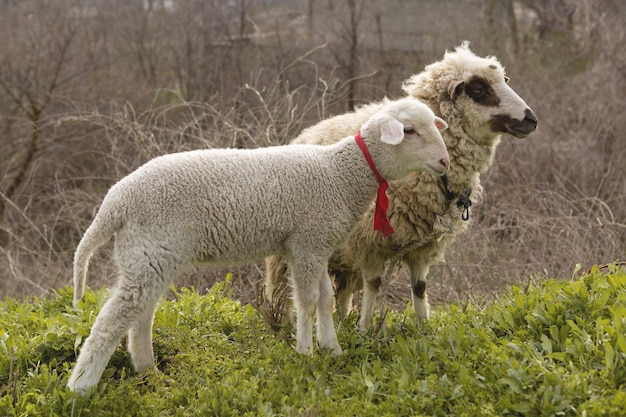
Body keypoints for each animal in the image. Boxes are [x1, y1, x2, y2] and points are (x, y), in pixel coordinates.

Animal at [68, 97, 448, 394]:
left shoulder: (315, 246)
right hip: (148, 252)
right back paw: (80, 388)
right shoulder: (308, 241)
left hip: (149, 255)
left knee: (140, 314)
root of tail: (116, 199)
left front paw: (332, 348)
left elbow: (324, 299)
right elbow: (307, 301)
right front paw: (305, 352)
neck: (341, 174)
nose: (445, 162)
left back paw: (149, 371)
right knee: (110, 321)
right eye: (409, 130)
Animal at [264, 41, 536, 328]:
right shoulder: (369, 241)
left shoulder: (423, 247)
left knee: (344, 290)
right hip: (286, 254)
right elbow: (374, 283)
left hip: (341, 256)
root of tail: (303, 134)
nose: (531, 120)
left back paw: (340, 319)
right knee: (283, 289)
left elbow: (419, 287)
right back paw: (283, 323)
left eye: (504, 80)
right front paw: (365, 329)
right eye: (478, 89)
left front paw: (423, 326)